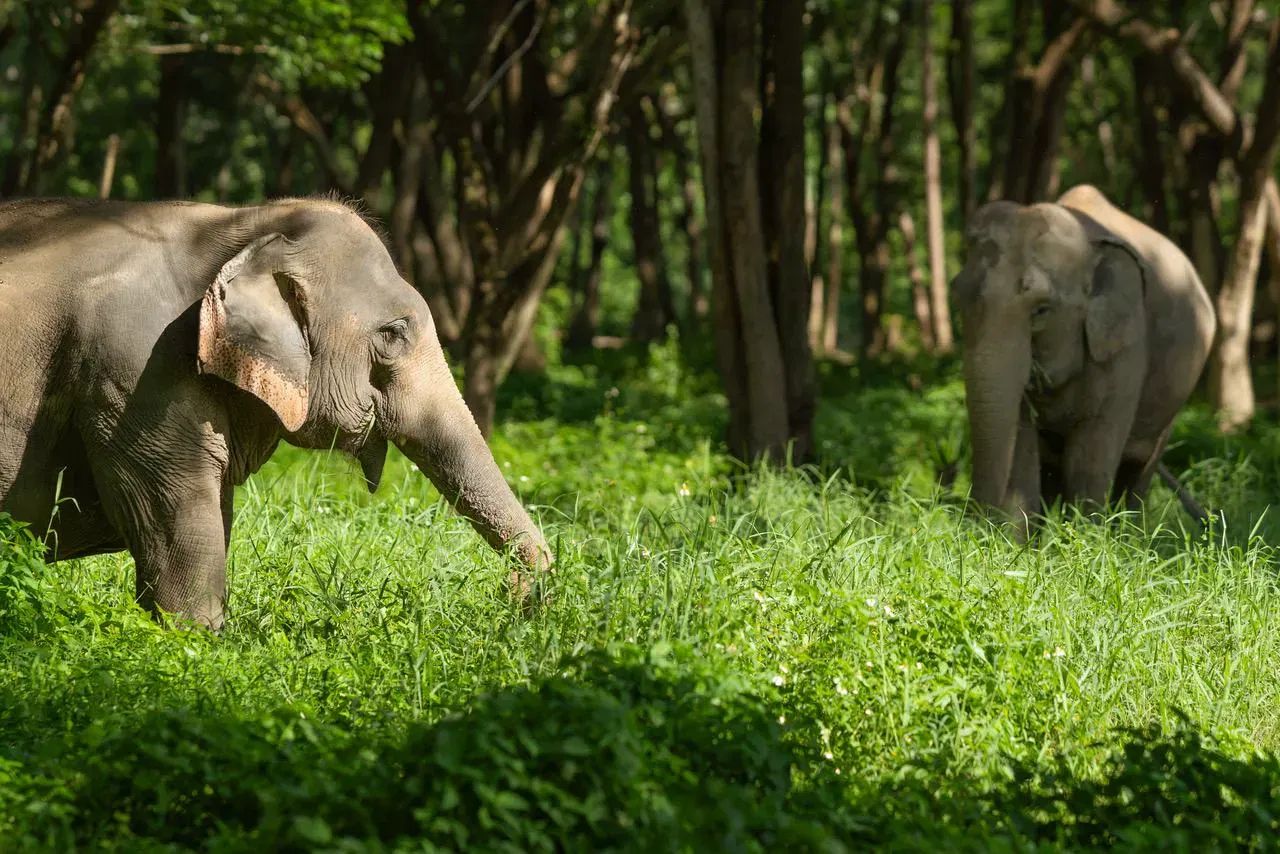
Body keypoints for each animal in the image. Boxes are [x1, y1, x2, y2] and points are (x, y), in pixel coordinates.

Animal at [0, 198, 550, 629]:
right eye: (393, 334)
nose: (517, 594)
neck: (241, 223)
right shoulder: (134, 372)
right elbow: (176, 521)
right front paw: (191, 644)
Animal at [953, 184, 1216, 524]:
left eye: (1042, 310)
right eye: (958, 298)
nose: (974, 525)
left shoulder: (1126, 346)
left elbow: (1089, 459)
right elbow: (1021, 452)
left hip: (1173, 400)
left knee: (1137, 473)